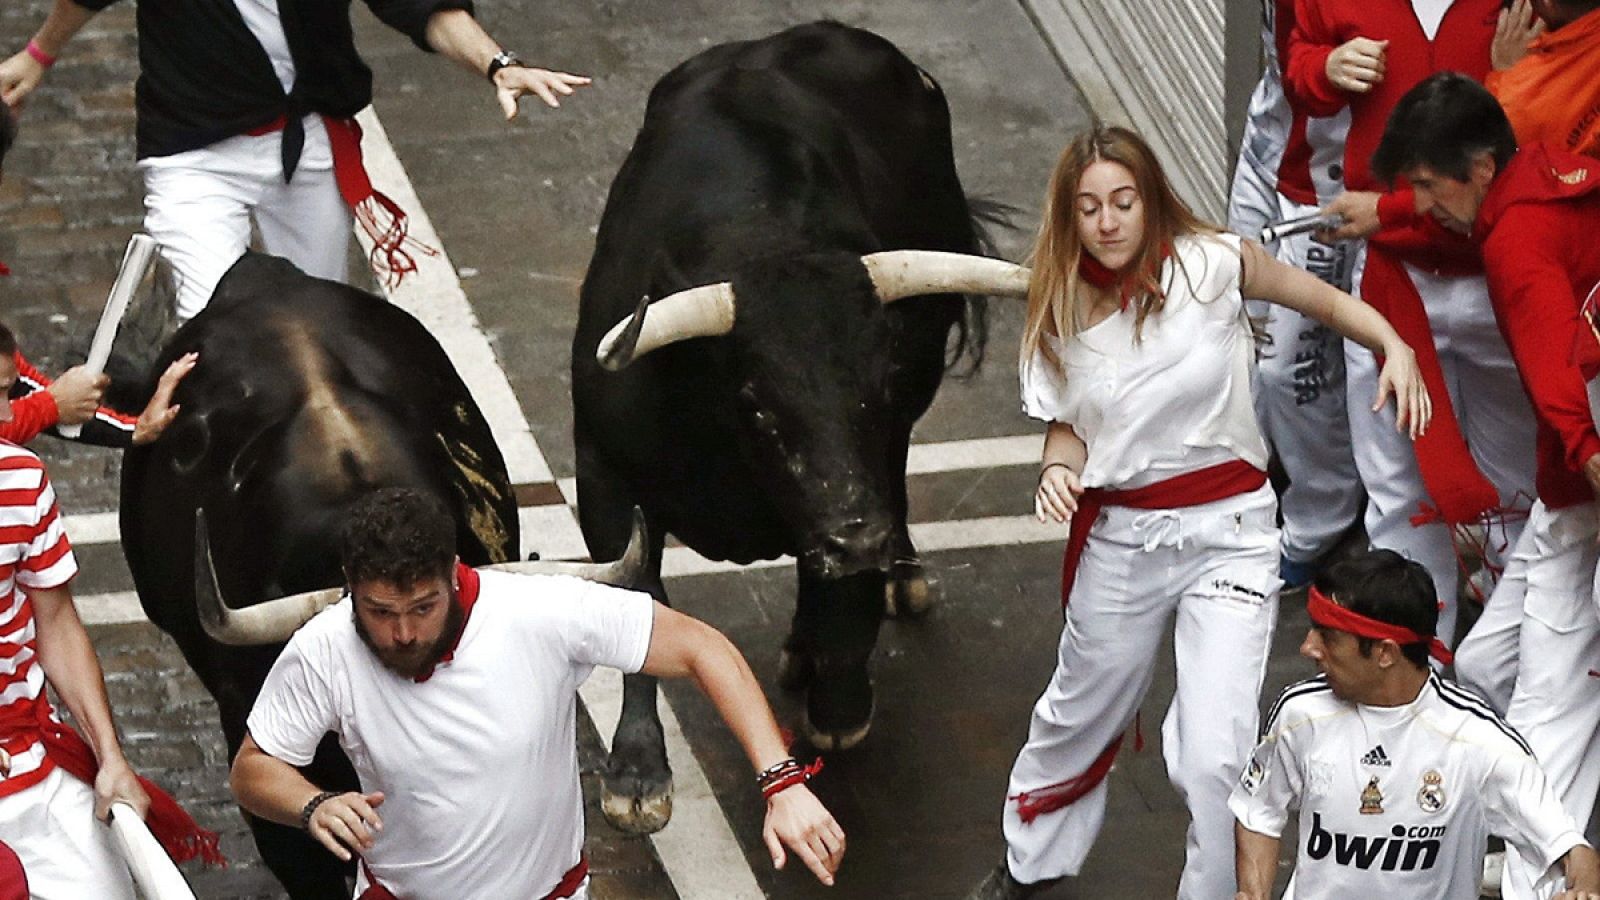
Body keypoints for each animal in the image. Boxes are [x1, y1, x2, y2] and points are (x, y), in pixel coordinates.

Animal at [572, 21, 1024, 832]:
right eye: (755, 401)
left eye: (880, 387)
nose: (859, 539)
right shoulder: (603, 474)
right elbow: (638, 604)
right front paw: (636, 771)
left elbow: (843, 603)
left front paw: (839, 702)